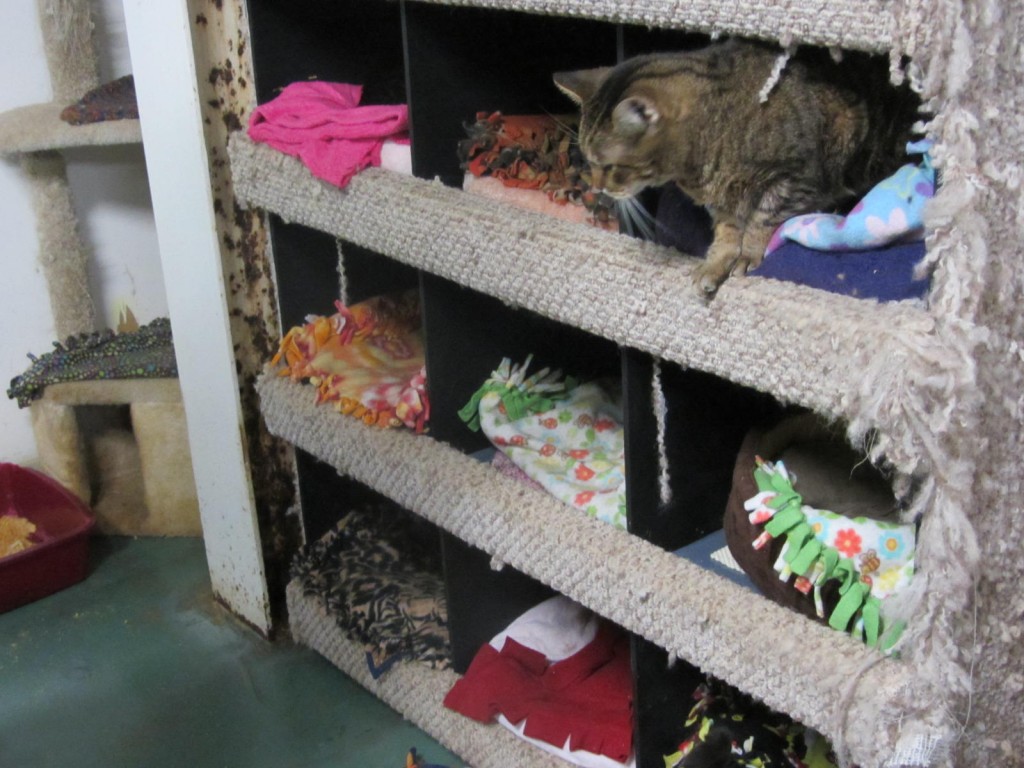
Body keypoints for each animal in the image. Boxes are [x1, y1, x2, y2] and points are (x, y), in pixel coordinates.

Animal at [557, 40, 925, 296]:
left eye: (609, 165)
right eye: (587, 159)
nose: (596, 186)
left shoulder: (792, 178)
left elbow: (761, 219)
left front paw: (748, 253)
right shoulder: (722, 201)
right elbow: (726, 231)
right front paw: (717, 262)